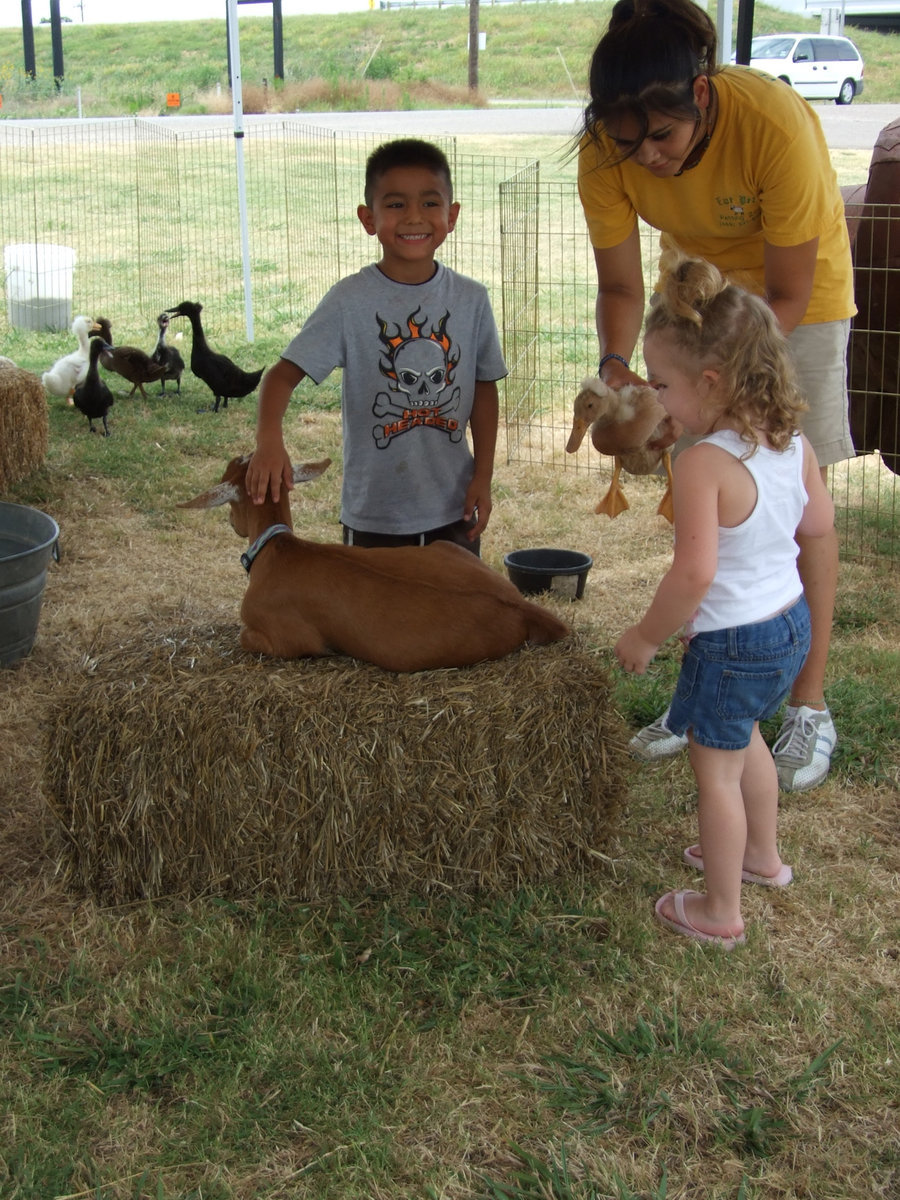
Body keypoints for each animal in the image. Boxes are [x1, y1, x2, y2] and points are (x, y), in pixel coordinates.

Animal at [177, 453, 571, 672]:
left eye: (230, 503)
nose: (234, 524)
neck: (277, 548)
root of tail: (520, 604)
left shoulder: (287, 640)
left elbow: (245, 637)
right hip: (448, 548)